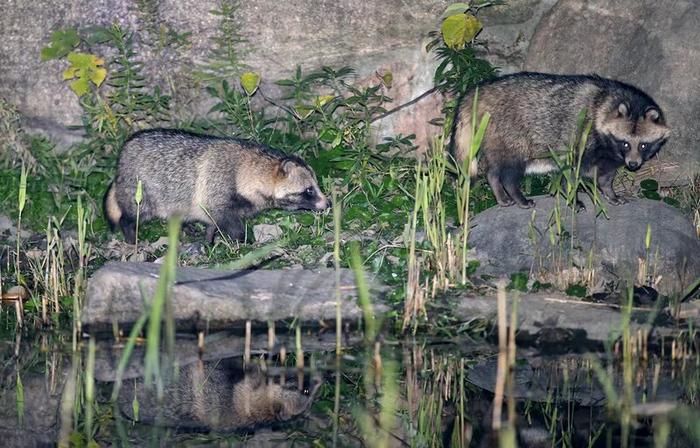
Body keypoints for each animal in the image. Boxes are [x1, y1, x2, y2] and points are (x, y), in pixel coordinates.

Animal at [104, 128, 330, 243]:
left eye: (315, 186)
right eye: (309, 190)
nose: (326, 204)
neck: (247, 169)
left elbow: (213, 222)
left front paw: (209, 238)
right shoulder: (217, 185)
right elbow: (225, 218)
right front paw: (243, 240)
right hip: (140, 188)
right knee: (134, 213)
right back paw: (131, 234)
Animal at [452, 72, 668, 208]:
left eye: (643, 145)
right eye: (625, 143)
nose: (633, 164)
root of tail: (480, 91)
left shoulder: (609, 156)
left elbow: (606, 174)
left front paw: (610, 192)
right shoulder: (581, 139)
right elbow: (570, 174)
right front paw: (573, 198)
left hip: (493, 137)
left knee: (494, 169)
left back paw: (498, 190)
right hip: (510, 134)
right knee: (509, 171)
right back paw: (516, 194)